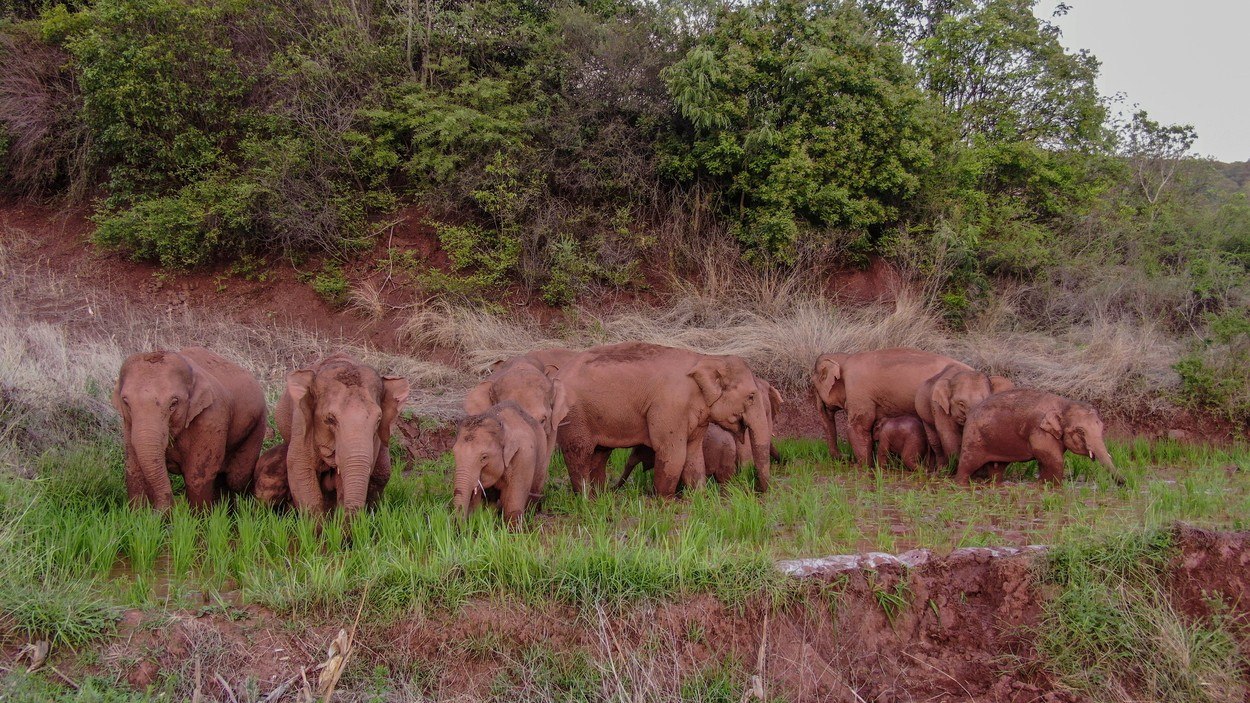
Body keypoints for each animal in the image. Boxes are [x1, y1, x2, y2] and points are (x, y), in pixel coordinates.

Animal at [113, 345, 268, 505]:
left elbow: (197, 475)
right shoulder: (129, 423)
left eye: (174, 403)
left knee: (237, 478)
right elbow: (133, 470)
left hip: (258, 424)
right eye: (126, 402)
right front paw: (139, 511)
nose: (171, 506)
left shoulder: (212, 418)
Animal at [557, 342, 770, 495]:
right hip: (574, 416)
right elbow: (672, 452)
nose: (757, 491)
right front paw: (665, 502)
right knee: (579, 453)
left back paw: (601, 497)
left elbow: (693, 453)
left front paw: (699, 498)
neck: (705, 359)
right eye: (751, 396)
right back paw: (587, 500)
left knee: (600, 454)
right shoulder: (670, 407)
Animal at [815, 345, 970, 465]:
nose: (846, 457)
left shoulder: (858, 391)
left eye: (815, 388)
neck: (845, 357)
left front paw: (865, 467)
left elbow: (858, 427)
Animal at [955, 385, 1125, 485]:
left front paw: (1043, 483)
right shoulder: (1039, 431)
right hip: (973, 437)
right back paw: (961, 484)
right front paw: (1053, 486)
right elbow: (1053, 459)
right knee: (968, 463)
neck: (1064, 404)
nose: (1124, 483)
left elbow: (1046, 460)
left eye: (1102, 427)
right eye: (1080, 431)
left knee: (998, 468)